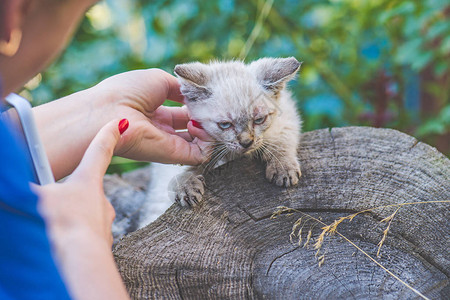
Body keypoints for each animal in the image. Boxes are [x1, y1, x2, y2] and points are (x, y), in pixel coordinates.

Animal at [169, 56, 302, 206]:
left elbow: (282, 139)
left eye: (259, 120)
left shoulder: (286, 116)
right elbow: (181, 167)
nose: (246, 142)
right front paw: (186, 186)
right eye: (225, 124)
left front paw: (283, 167)